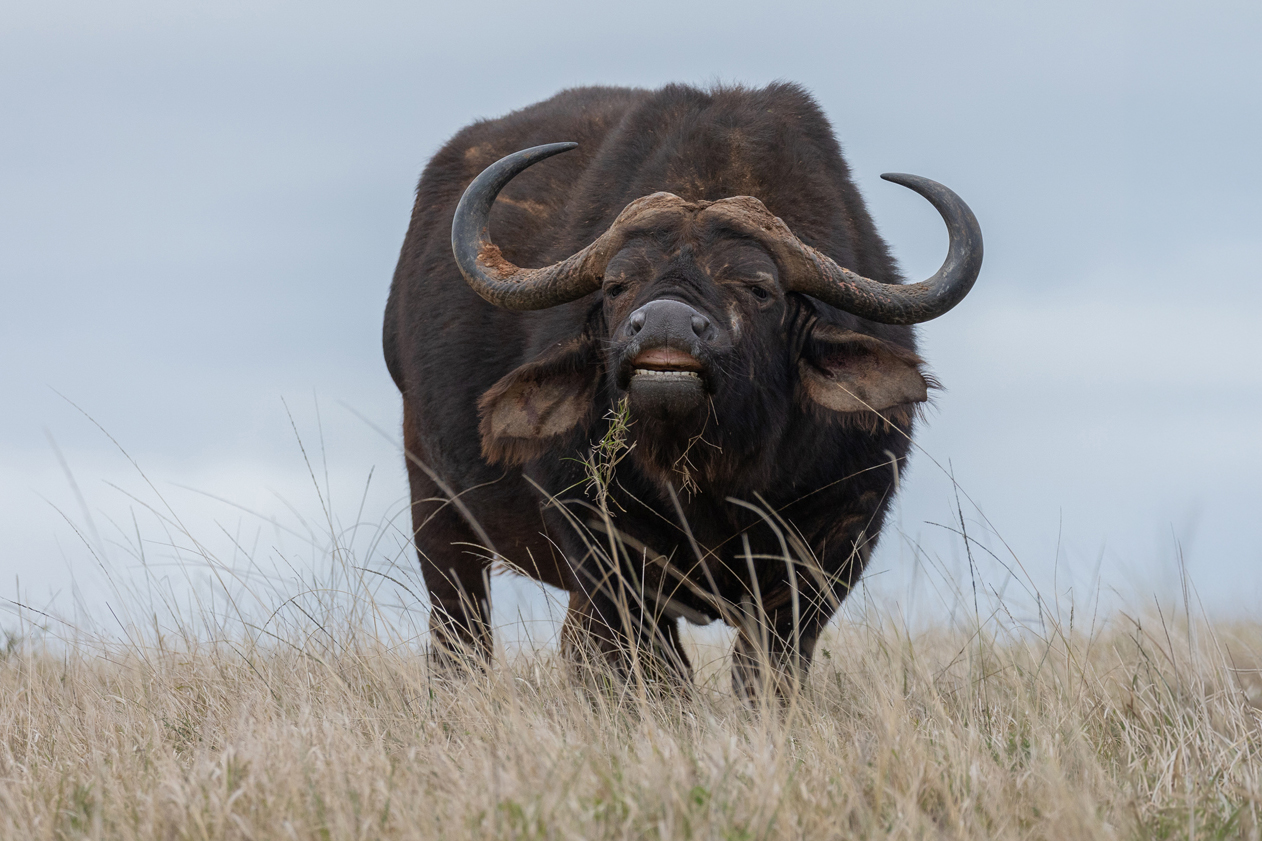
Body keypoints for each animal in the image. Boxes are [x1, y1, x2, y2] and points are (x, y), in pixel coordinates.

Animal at [382, 83, 982, 698]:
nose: (664, 324)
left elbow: (766, 669)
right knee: (461, 634)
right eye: (616, 284)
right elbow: (657, 672)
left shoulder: (832, 549)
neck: (714, 475)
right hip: (436, 510)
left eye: (758, 287)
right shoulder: (608, 555)